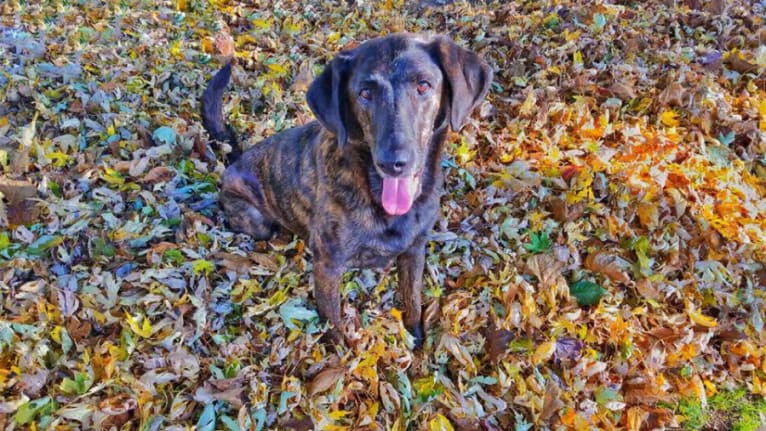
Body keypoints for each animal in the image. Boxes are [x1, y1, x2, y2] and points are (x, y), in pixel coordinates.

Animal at [202, 32, 492, 350]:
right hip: (257, 221)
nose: (393, 163)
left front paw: (414, 334)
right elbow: (333, 318)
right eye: (365, 93)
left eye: (423, 85)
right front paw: (339, 350)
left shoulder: (415, 250)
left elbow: (412, 298)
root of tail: (235, 158)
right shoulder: (328, 265)